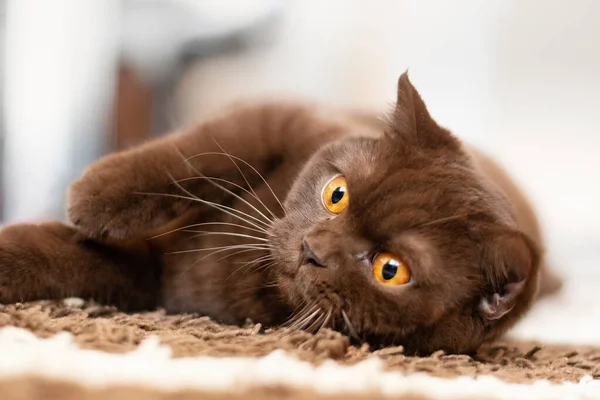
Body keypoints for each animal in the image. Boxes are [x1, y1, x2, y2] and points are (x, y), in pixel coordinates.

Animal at [0, 72, 556, 354]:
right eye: (337, 194)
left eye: (390, 270)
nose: (313, 248)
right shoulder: (286, 116)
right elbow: (206, 147)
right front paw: (92, 196)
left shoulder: (156, 279)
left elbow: (71, 259)